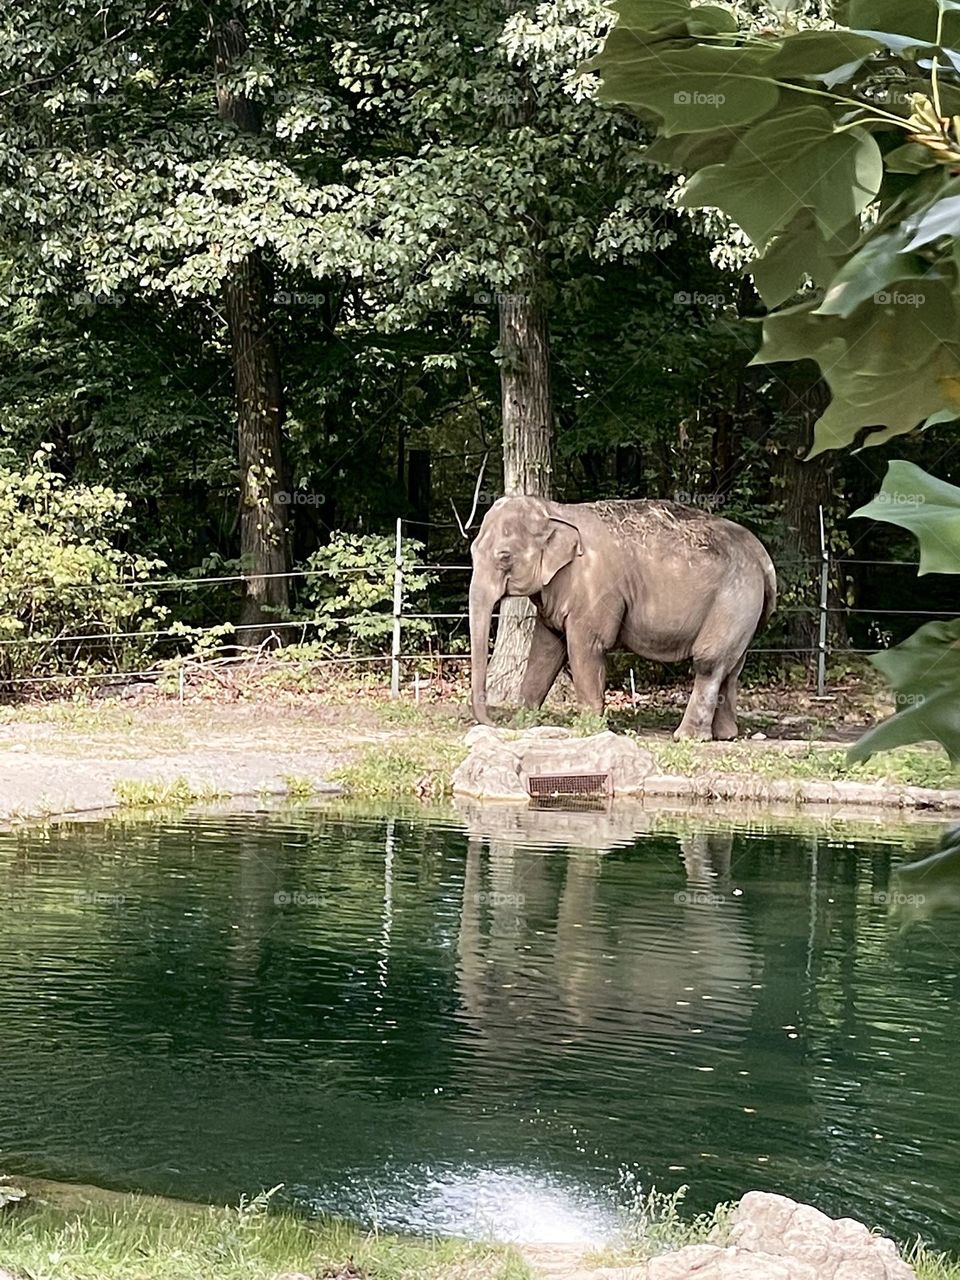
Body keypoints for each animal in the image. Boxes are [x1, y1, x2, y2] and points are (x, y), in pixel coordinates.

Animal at [468, 496, 777, 740]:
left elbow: (586, 647)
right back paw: (726, 735)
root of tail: (763, 556)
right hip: (744, 610)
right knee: (732, 666)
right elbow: (545, 651)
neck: (554, 509)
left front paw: (589, 729)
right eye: (472, 551)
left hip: (734, 598)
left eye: (504, 557)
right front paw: (523, 722)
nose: (496, 723)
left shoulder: (594, 590)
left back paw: (688, 737)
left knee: (709, 662)